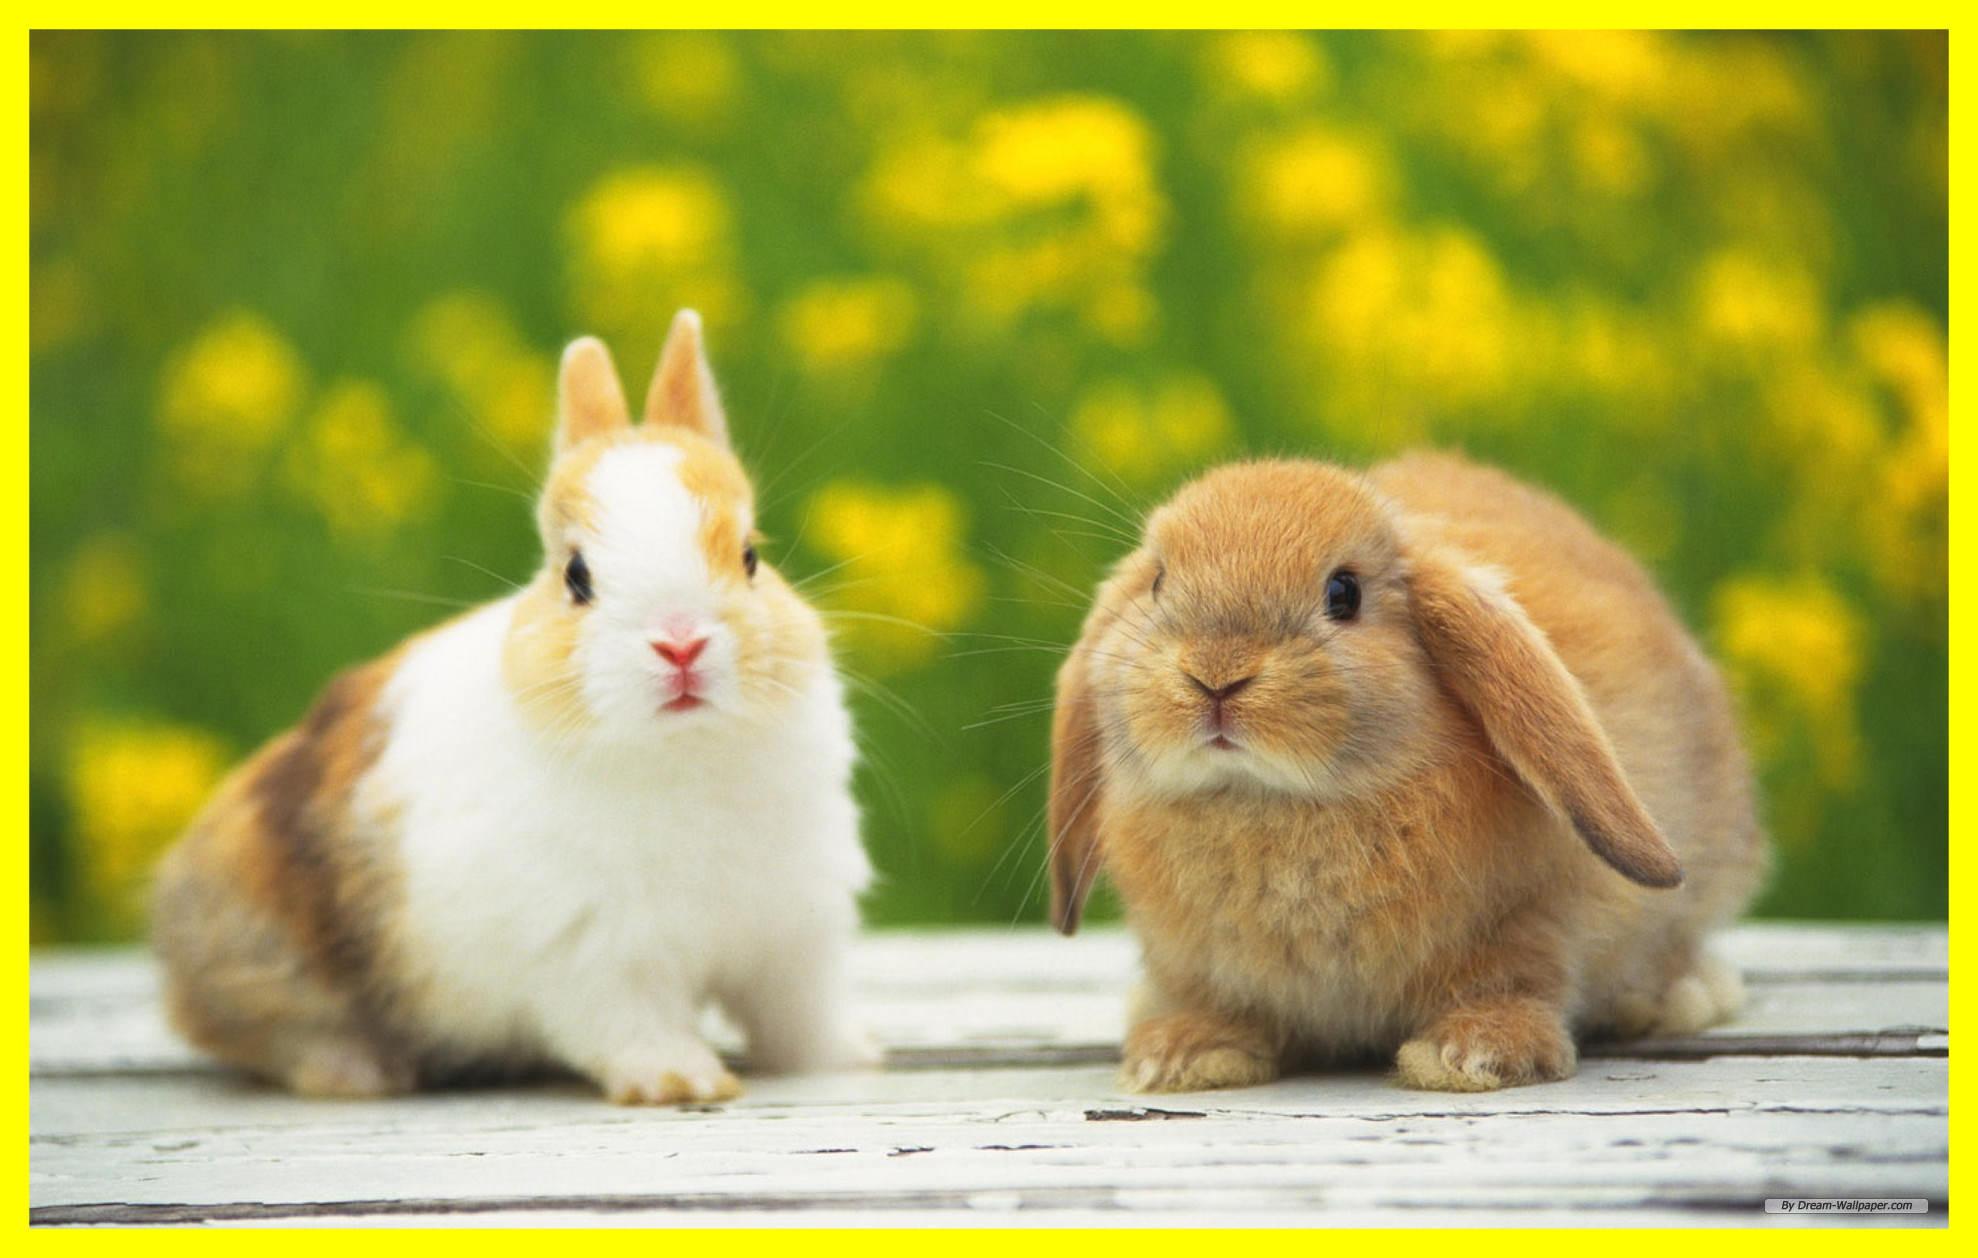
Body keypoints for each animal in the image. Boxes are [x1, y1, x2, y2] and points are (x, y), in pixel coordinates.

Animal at [151, 311, 874, 1104]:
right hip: (266, 945)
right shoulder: (595, 955)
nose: (680, 643)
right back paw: (362, 1071)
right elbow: (634, 1025)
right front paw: (682, 1083)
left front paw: (848, 1059)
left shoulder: (791, 936)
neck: (684, 752)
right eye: (577, 576)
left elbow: (798, 1016)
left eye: (750, 556)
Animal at [1047, 451, 1767, 1093]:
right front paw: (1183, 1056)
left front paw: (1475, 1056)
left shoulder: (1529, 921)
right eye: (1158, 582)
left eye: (1344, 593)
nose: (1216, 675)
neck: (1270, 802)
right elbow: (1214, 1003)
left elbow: (1514, 978)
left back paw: (1674, 999)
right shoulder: (1199, 964)